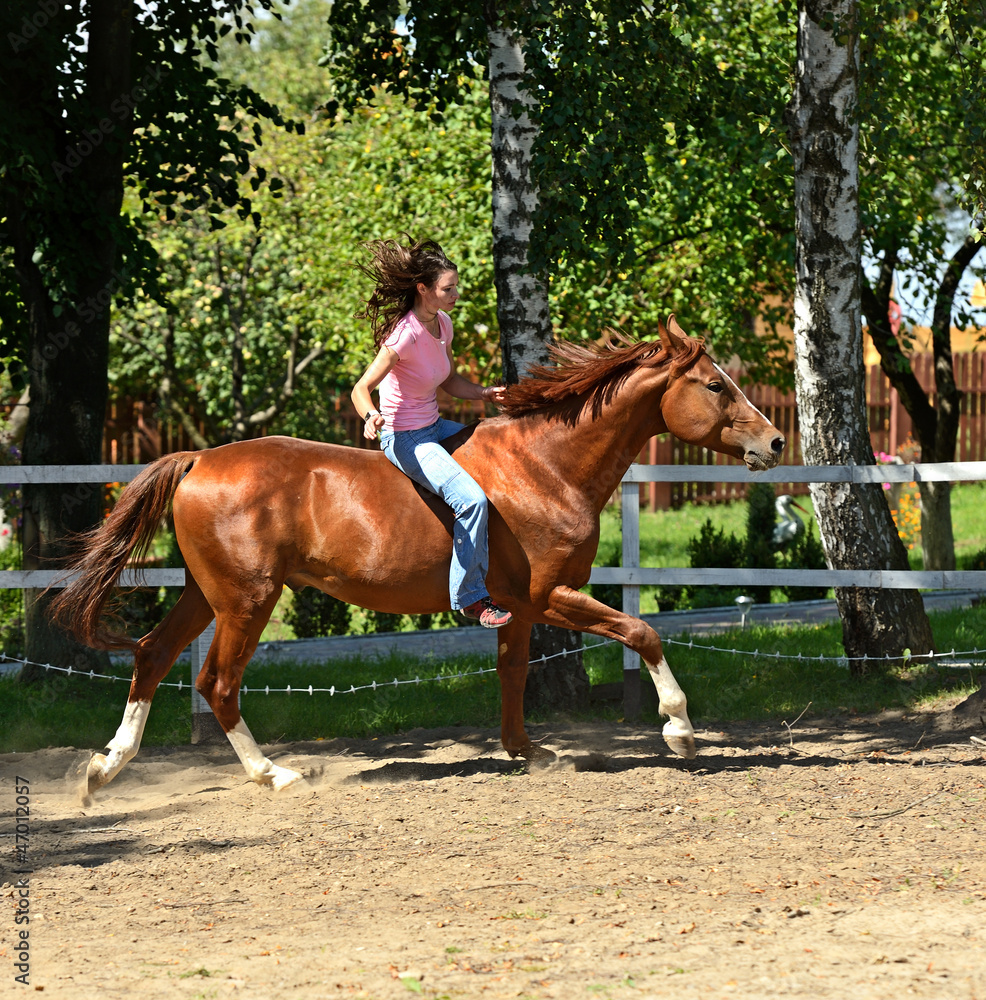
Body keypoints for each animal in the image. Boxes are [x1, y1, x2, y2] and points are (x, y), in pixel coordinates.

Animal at [51, 317, 785, 797]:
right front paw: (679, 729)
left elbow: (511, 673)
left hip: (207, 594)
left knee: (152, 656)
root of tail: (199, 457)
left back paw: (103, 771)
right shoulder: (550, 597)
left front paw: (527, 751)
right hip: (247, 600)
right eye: (715, 385)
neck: (546, 467)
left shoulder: (516, 606)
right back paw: (274, 772)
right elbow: (641, 630)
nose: (776, 442)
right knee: (216, 684)